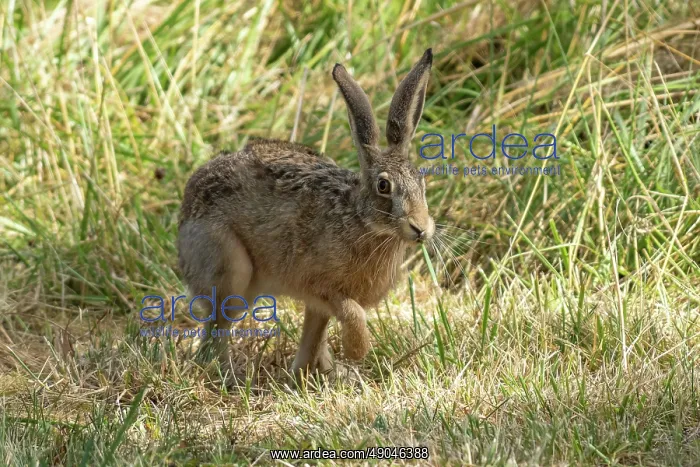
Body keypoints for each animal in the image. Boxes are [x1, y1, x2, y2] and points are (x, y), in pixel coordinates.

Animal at [178, 48, 435, 382]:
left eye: (422, 181)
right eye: (383, 186)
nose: (421, 228)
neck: (360, 220)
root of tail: (186, 207)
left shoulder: (319, 304)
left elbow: (315, 335)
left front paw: (316, 373)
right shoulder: (321, 286)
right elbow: (351, 313)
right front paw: (356, 351)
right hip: (230, 270)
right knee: (217, 325)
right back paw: (226, 375)